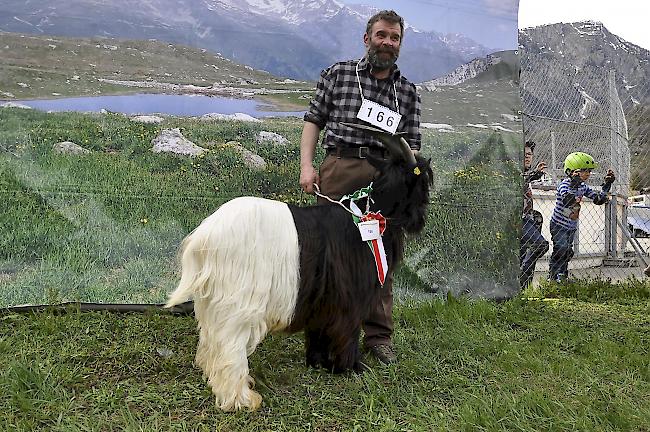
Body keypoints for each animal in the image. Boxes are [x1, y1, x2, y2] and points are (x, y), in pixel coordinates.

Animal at [165, 123, 432, 410]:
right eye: (424, 180)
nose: (419, 220)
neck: (366, 220)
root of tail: (205, 235)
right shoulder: (349, 297)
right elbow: (347, 330)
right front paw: (352, 368)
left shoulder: (321, 297)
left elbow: (319, 329)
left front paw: (318, 362)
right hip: (238, 300)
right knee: (229, 344)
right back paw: (241, 398)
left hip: (212, 300)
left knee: (211, 340)